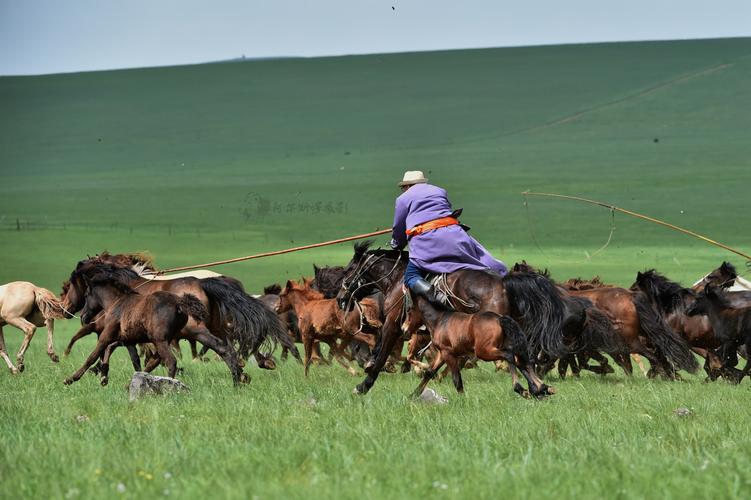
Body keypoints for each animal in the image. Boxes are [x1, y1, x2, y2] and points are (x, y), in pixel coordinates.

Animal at [62, 265, 243, 386]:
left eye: (86, 293)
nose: (83, 317)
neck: (118, 302)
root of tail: (180, 303)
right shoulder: (125, 338)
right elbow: (118, 354)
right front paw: (104, 375)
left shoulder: (107, 335)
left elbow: (93, 355)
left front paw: (71, 378)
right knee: (223, 348)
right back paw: (238, 380)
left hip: (166, 338)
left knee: (171, 361)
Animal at [336, 241, 567, 395]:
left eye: (349, 269)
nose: (340, 299)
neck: (396, 278)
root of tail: (504, 282)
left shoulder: (393, 324)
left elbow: (382, 350)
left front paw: (365, 383)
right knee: (524, 357)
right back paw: (539, 388)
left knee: (517, 357)